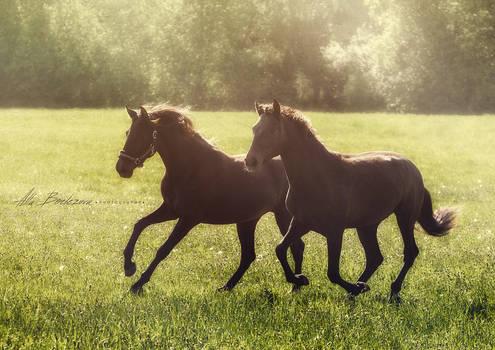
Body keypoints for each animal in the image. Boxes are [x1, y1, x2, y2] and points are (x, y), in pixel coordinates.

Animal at [115, 103, 306, 292]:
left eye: (142, 135)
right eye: (127, 133)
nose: (121, 168)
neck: (190, 167)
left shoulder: (188, 218)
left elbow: (164, 249)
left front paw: (138, 284)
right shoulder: (170, 210)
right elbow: (140, 224)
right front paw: (129, 266)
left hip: (284, 217)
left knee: (295, 247)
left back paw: (297, 284)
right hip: (247, 221)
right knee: (249, 255)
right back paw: (227, 287)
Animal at [246, 100, 460, 302]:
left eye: (273, 130)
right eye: (254, 129)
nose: (250, 161)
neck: (318, 176)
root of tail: (414, 170)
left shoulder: (334, 231)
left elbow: (332, 272)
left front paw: (355, 287)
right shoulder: (300, 222)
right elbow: (280, 249)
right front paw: (300, 279)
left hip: (405, 217)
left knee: (410, 252)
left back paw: (391, 291)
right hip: (367, 226)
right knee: (375, 257)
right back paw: (357, 289)